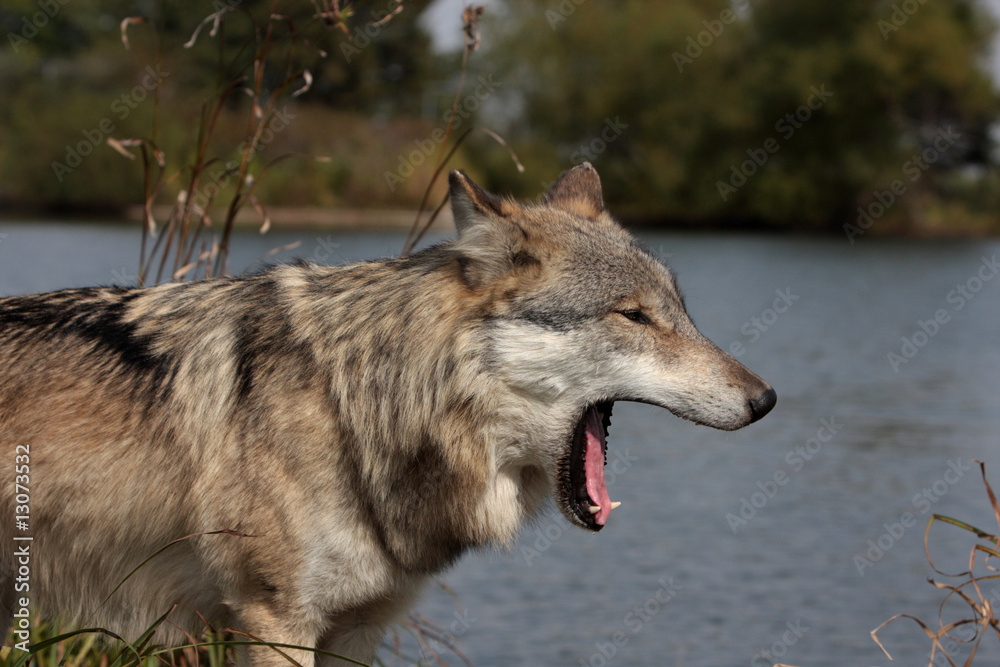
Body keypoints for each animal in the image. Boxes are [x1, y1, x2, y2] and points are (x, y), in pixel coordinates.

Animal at [0, 163, 775, 665]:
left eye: (681, 310)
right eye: (634, 316)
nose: (766, 399)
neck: (354, 406)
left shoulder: (359, 630)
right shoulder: (275, 622)